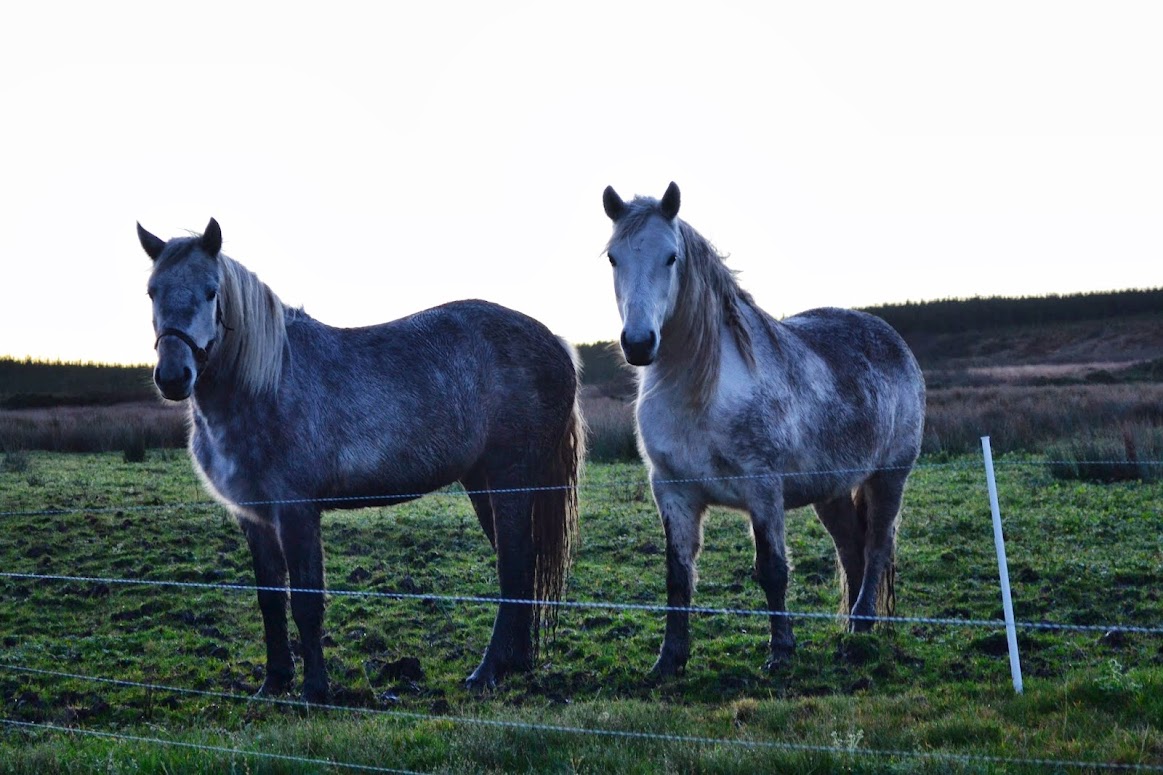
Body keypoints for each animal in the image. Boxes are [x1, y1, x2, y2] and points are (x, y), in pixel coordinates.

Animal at [139, 218, 586, 698]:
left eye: (211, 291)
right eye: (152, 291)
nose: (173, 377)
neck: (267, 383)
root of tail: (556, 343)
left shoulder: (296, 511)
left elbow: (307, 601)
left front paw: (316, 691)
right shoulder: (254, 516)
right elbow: (271, 600)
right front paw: (274, 682)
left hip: (510, 481)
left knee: (514, 568)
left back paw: (487, 672)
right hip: (481, 483)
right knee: (521, 566)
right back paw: (515, 663)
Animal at [600, 183, 925, 674]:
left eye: (671, 257)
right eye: (614, 258)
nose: (638, 344)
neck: (702, 391)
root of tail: (892, 339)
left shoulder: (763, 490)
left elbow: (772, 570)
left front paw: (781, 652)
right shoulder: (672, 491)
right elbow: (678, 576)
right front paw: (669, 660)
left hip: (889, 479)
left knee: (876, 547)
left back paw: (863, 624)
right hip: (830, 491)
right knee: (851, 548)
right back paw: (852, 626)